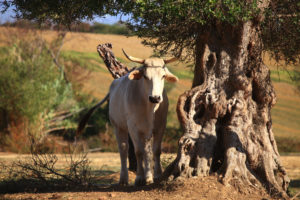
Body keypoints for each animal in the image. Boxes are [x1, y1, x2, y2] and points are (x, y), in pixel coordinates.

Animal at [109, 50, 178, 186]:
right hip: (119, 127)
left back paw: (149, 176)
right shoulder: (133, 127)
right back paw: (124, 178)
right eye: (145, 76)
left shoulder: (160, 126)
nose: (155, 98)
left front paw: (157, 175)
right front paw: (139, 177)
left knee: (147, 150)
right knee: (123, 150)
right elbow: (138, 151)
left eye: (163, 76)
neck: (149, 108)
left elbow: (155, 150)